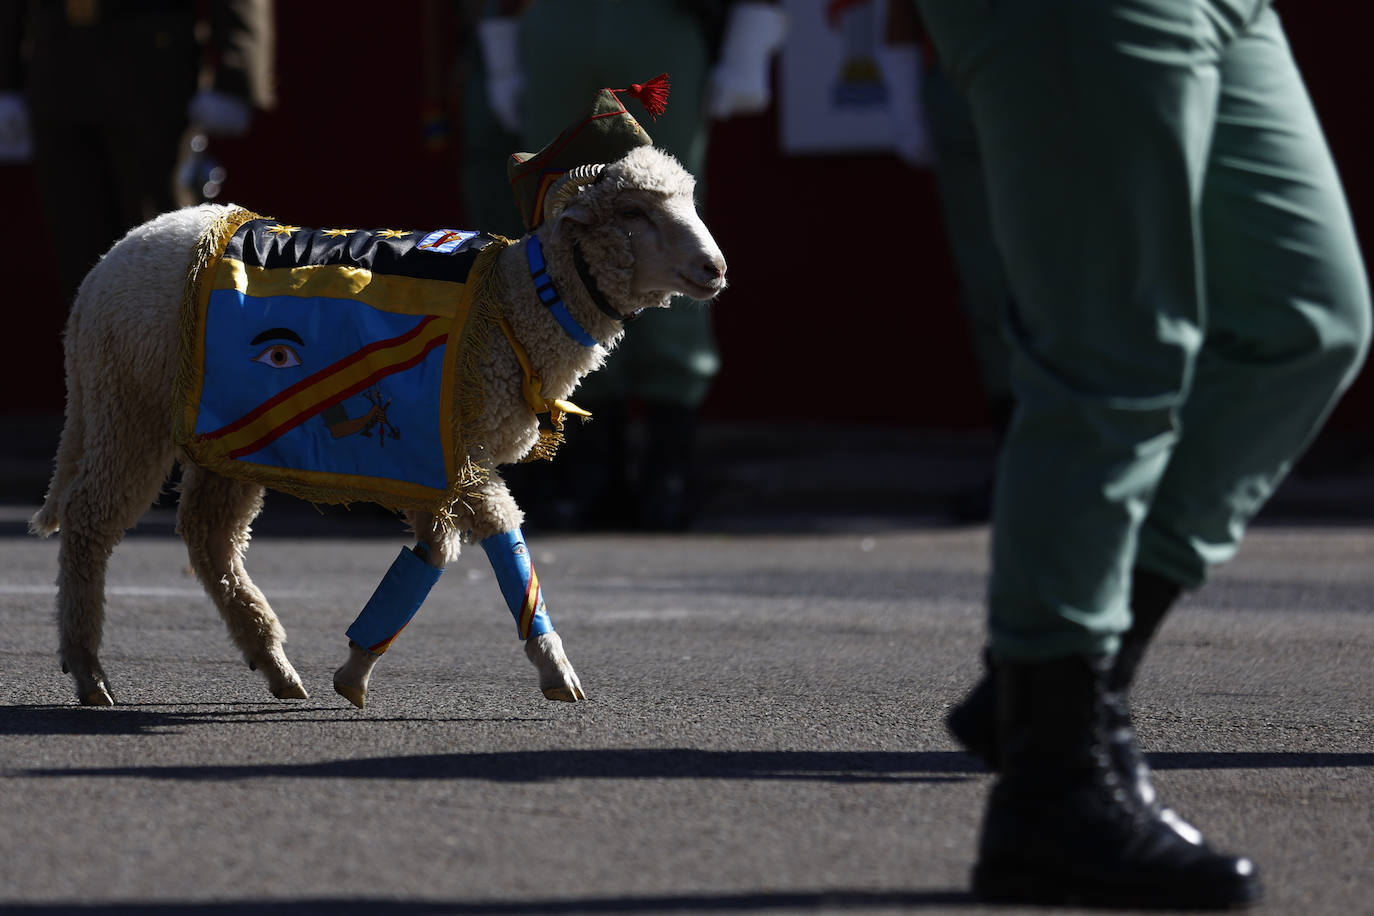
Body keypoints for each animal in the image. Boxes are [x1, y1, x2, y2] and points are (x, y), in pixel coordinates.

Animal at [29, 144, 730, 708]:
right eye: (635, 214)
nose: (716, 269)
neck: (519, 305)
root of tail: (104, 268)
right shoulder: (462, 455)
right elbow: (503, 541)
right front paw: (557, 672)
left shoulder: (437, 463)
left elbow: (434, 553)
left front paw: (356, 667)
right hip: (129, 407)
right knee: (91, 524)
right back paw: (90, 674)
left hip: (222, 436)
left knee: (210, 540)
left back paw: (275, 664)